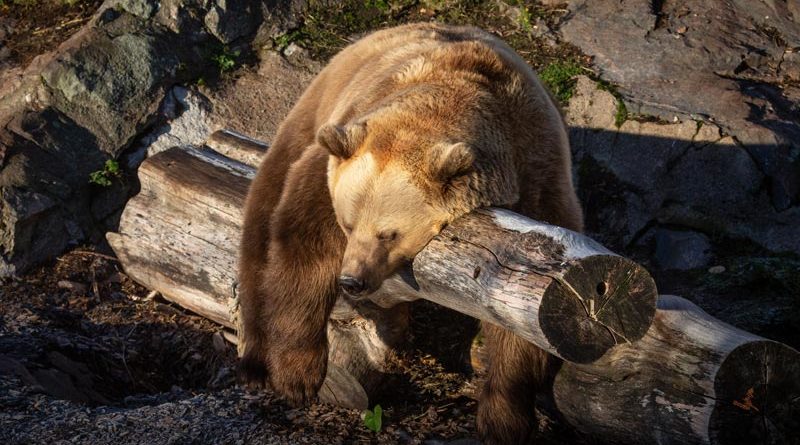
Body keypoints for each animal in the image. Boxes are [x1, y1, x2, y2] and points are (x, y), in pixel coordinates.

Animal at [238, 21, 580, 444]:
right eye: (348, 223)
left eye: (389, 234)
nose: (351, 281)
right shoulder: (333, 166)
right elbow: (304, 241)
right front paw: (297, 374)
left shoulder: (537, 181)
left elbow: (518, 312)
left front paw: (504, 418)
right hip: (314, 114)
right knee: (262, 217)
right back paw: (255, 360)